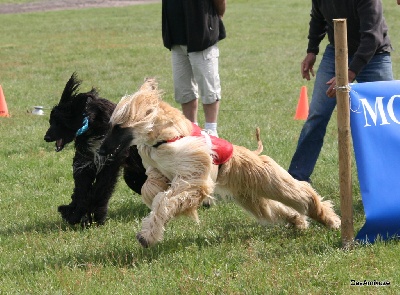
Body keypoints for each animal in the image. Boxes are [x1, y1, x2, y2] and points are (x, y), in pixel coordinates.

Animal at [44, 74, 147, 227]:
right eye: (51, 121)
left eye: (58, 121)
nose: (46, 137)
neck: (92, 126)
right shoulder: (85, 163)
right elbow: (81, 190)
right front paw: (75, 214)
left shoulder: (110, 163)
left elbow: (100, 189)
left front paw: (97, 216)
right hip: (133, 175)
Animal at [99, 78, 340, 247]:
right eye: (110, 125)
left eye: (118, 127)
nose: (101, 150)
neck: (163, 137)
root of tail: (255, 153)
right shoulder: (159, 170)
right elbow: (152, 188)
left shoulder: (194, 175)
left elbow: (166, 201)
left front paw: (147, 236)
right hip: (250, 195)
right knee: (275, 209)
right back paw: (298, 222)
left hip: (267, 177)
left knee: (303, 193)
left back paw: (331, 219)